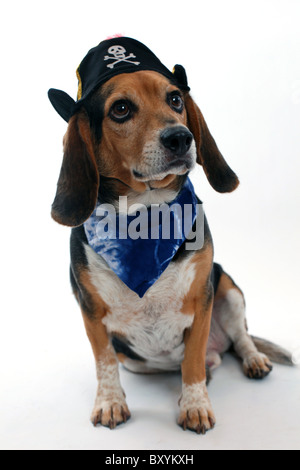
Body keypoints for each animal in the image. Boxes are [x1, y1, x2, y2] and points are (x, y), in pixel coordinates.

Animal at [49, 36, 292, 434]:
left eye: (175, 99)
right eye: (120, 109)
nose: (181, 137)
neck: (146, 217)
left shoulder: (201, 298)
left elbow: (191, 362)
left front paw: (194, 406)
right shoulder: (91, 311)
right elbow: (105, 363)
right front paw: (110, 403)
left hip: (229, 289)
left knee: (239, 338)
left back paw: (253, 359)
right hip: (137, 359)